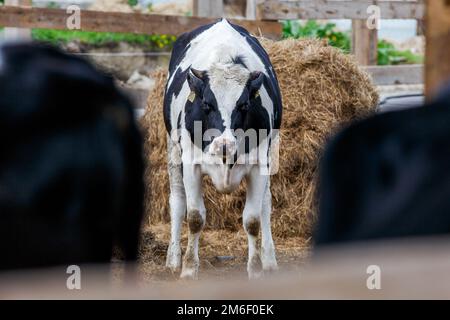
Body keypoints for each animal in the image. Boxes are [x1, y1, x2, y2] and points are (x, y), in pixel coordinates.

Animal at [163, 18, 280, 278]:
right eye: (207, 104)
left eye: (244, 104)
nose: (223, 144)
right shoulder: (190, 164)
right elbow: (194, 218)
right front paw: (188, 269)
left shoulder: (260, 165)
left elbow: (253, 220)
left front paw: (256, 270)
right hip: (173, 151)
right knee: (177, 201)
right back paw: (173, 259)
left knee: (266, 204)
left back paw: (269, 260)